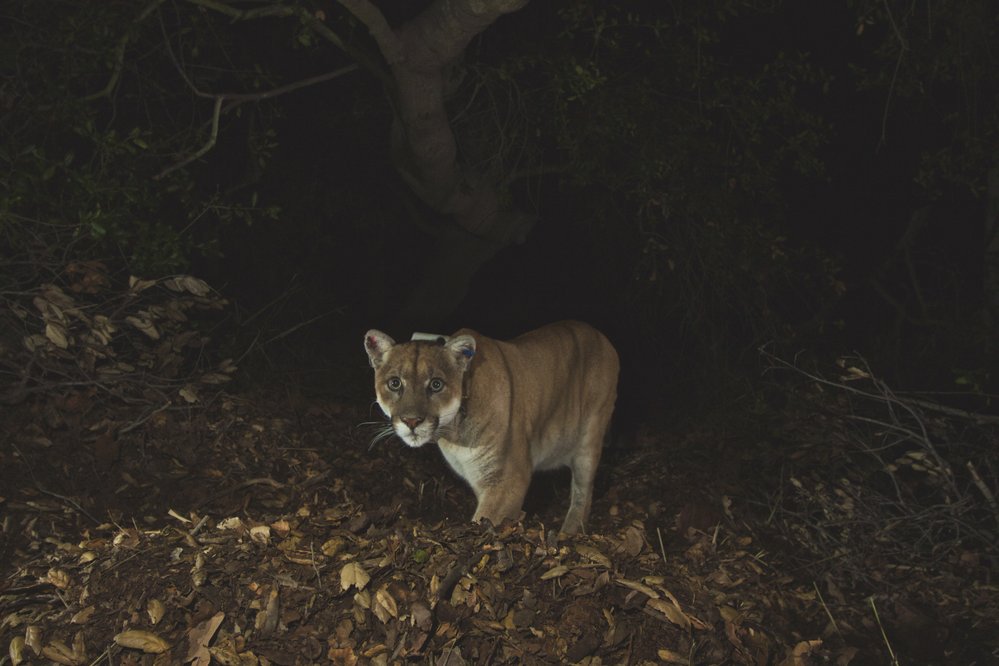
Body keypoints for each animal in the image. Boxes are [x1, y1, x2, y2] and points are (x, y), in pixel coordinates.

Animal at [366, 320, 616, 532]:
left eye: (436, 384)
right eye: (395, 383)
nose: (412, 421)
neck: (453, 433)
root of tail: (599, 334)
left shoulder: (508, 479)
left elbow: (485, 521)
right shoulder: (479, 477)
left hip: (589, 438)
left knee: (584, 492)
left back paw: (569, 531)